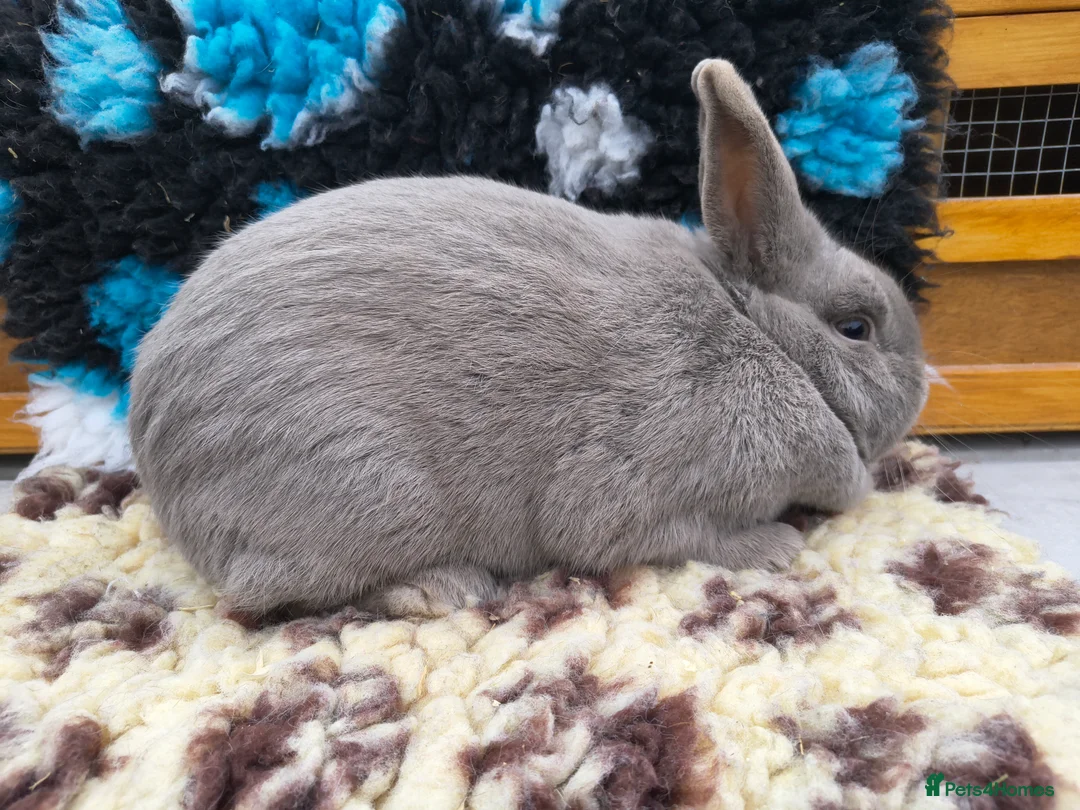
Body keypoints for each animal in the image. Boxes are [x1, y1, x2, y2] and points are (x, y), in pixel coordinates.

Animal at [129, 59, 927, 618]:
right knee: (264, 596)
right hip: (372, 493)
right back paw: (442, 589)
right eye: (856, 328)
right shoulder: (641, 499)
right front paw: (776, 546)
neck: (761, 333)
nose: (924, 381)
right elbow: (680, 538)